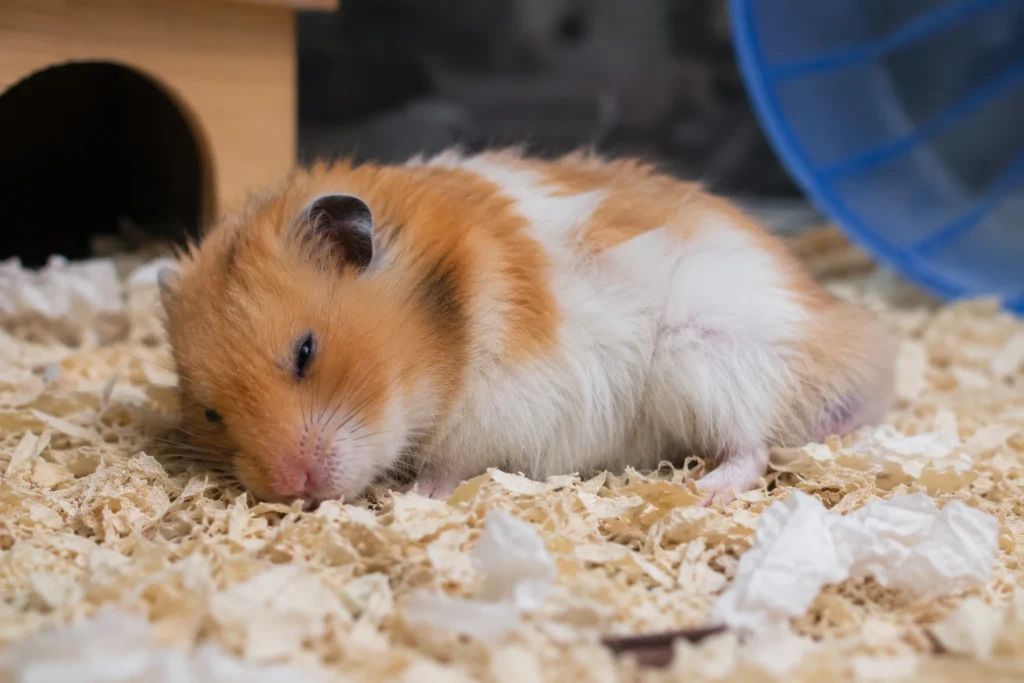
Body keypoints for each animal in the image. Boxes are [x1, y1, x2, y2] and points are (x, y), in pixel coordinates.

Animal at [158, 148, 895, 506]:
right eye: (212, 413)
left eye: (306, 352)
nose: (293, 489)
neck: (444, 348)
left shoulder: (508, 404)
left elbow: (454, 461)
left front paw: (416, 496)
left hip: (711, 359)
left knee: (755, 447)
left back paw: (705, 492)